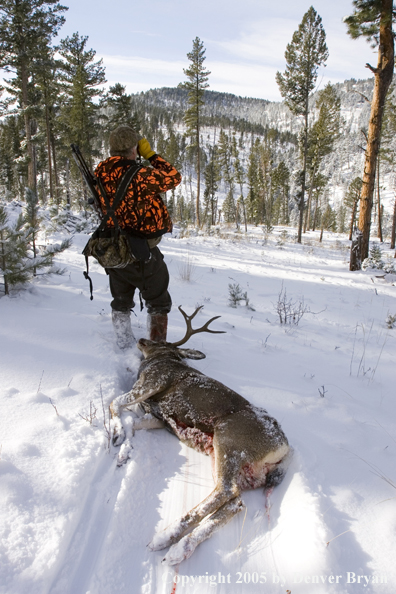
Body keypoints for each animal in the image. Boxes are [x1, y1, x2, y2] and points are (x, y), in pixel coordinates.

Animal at [110, 306, 292, 564]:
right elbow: (133, 424)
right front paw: (123, 453)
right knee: (236, 502)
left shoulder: (152, 382)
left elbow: (115, 403)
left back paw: (164, 537)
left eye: (162, 342)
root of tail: (285, 447)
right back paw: (180, 548)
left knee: (225, 491)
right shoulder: (159, 417)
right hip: (234, 463)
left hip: (229, 439)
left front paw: (115, 435)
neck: (161, 360)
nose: (142, 340)